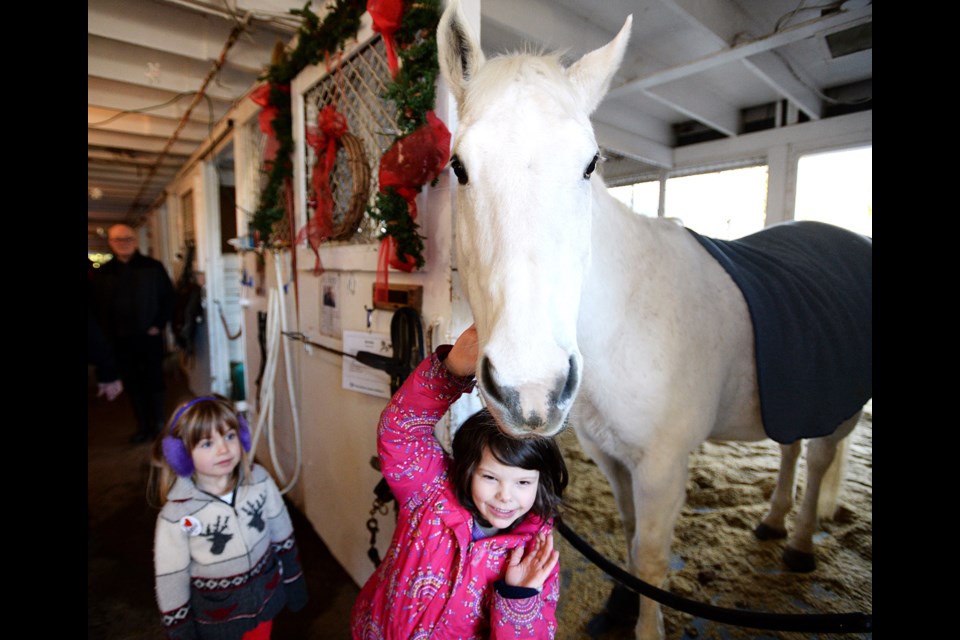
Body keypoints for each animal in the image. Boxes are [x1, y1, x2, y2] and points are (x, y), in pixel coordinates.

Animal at [436, 2, 872, 636]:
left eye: (590, 164)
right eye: (459, 166)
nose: (531, 392)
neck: (627, 319)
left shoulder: (664, 466)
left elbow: (649, 554)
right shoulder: (613, 456)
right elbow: (629, 528)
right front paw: (620, 604)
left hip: (842, 402)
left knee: (818, 458)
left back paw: (799, 545)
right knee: (792, 449)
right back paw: (773, 522)